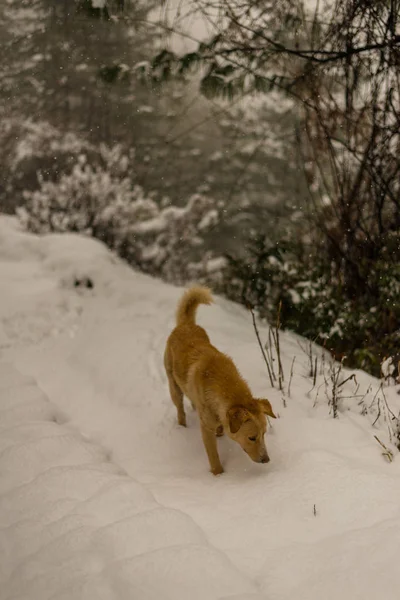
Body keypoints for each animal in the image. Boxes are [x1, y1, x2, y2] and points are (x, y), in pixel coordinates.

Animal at [163, 284, 276, 476]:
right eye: (252, 437)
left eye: (264, 434)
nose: (266, 460)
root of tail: (186, 325)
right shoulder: (206, 429)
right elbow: (213, 455)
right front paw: (218, 475)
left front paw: (221, 432)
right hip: (173, 386)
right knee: (180, 408)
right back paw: (182, 425)